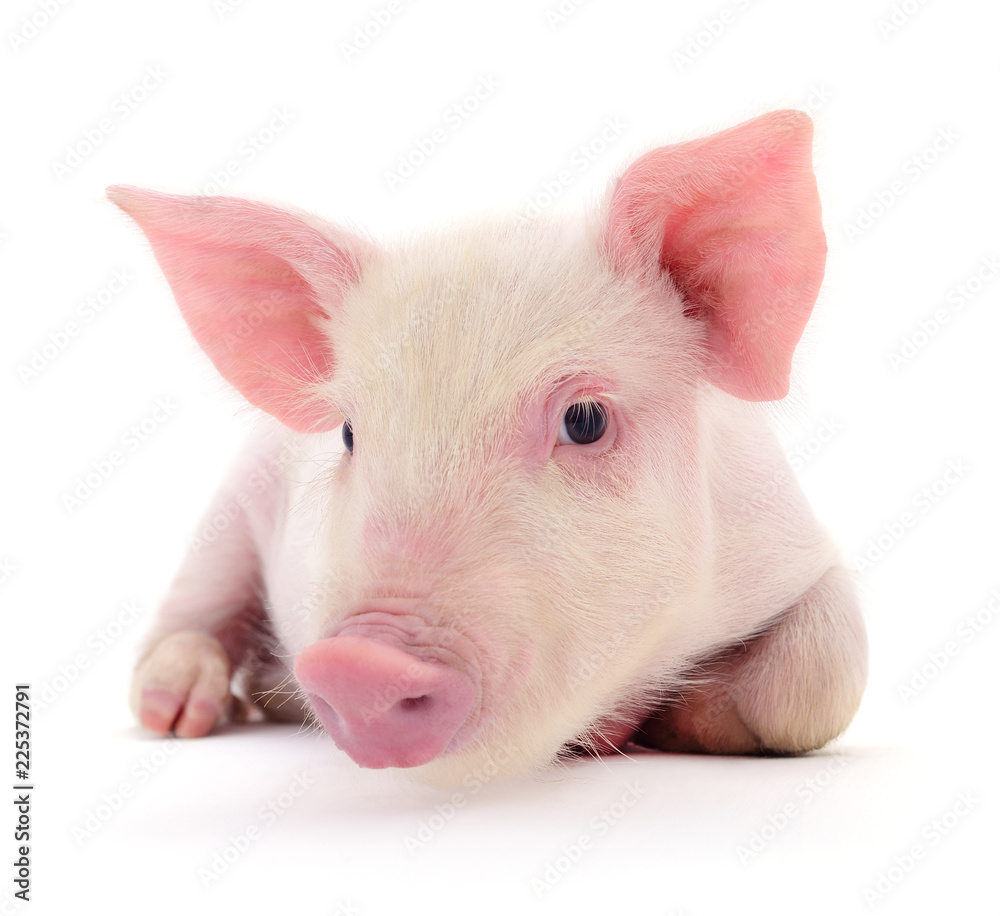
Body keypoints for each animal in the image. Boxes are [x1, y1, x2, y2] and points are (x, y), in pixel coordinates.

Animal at [110, 109, 867, 785]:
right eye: (351, 432)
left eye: (585, 419)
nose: (359, 664)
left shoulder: (789, 533)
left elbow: (828, 674)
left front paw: (670, 725)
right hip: (231, 507)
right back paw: (180, 712)